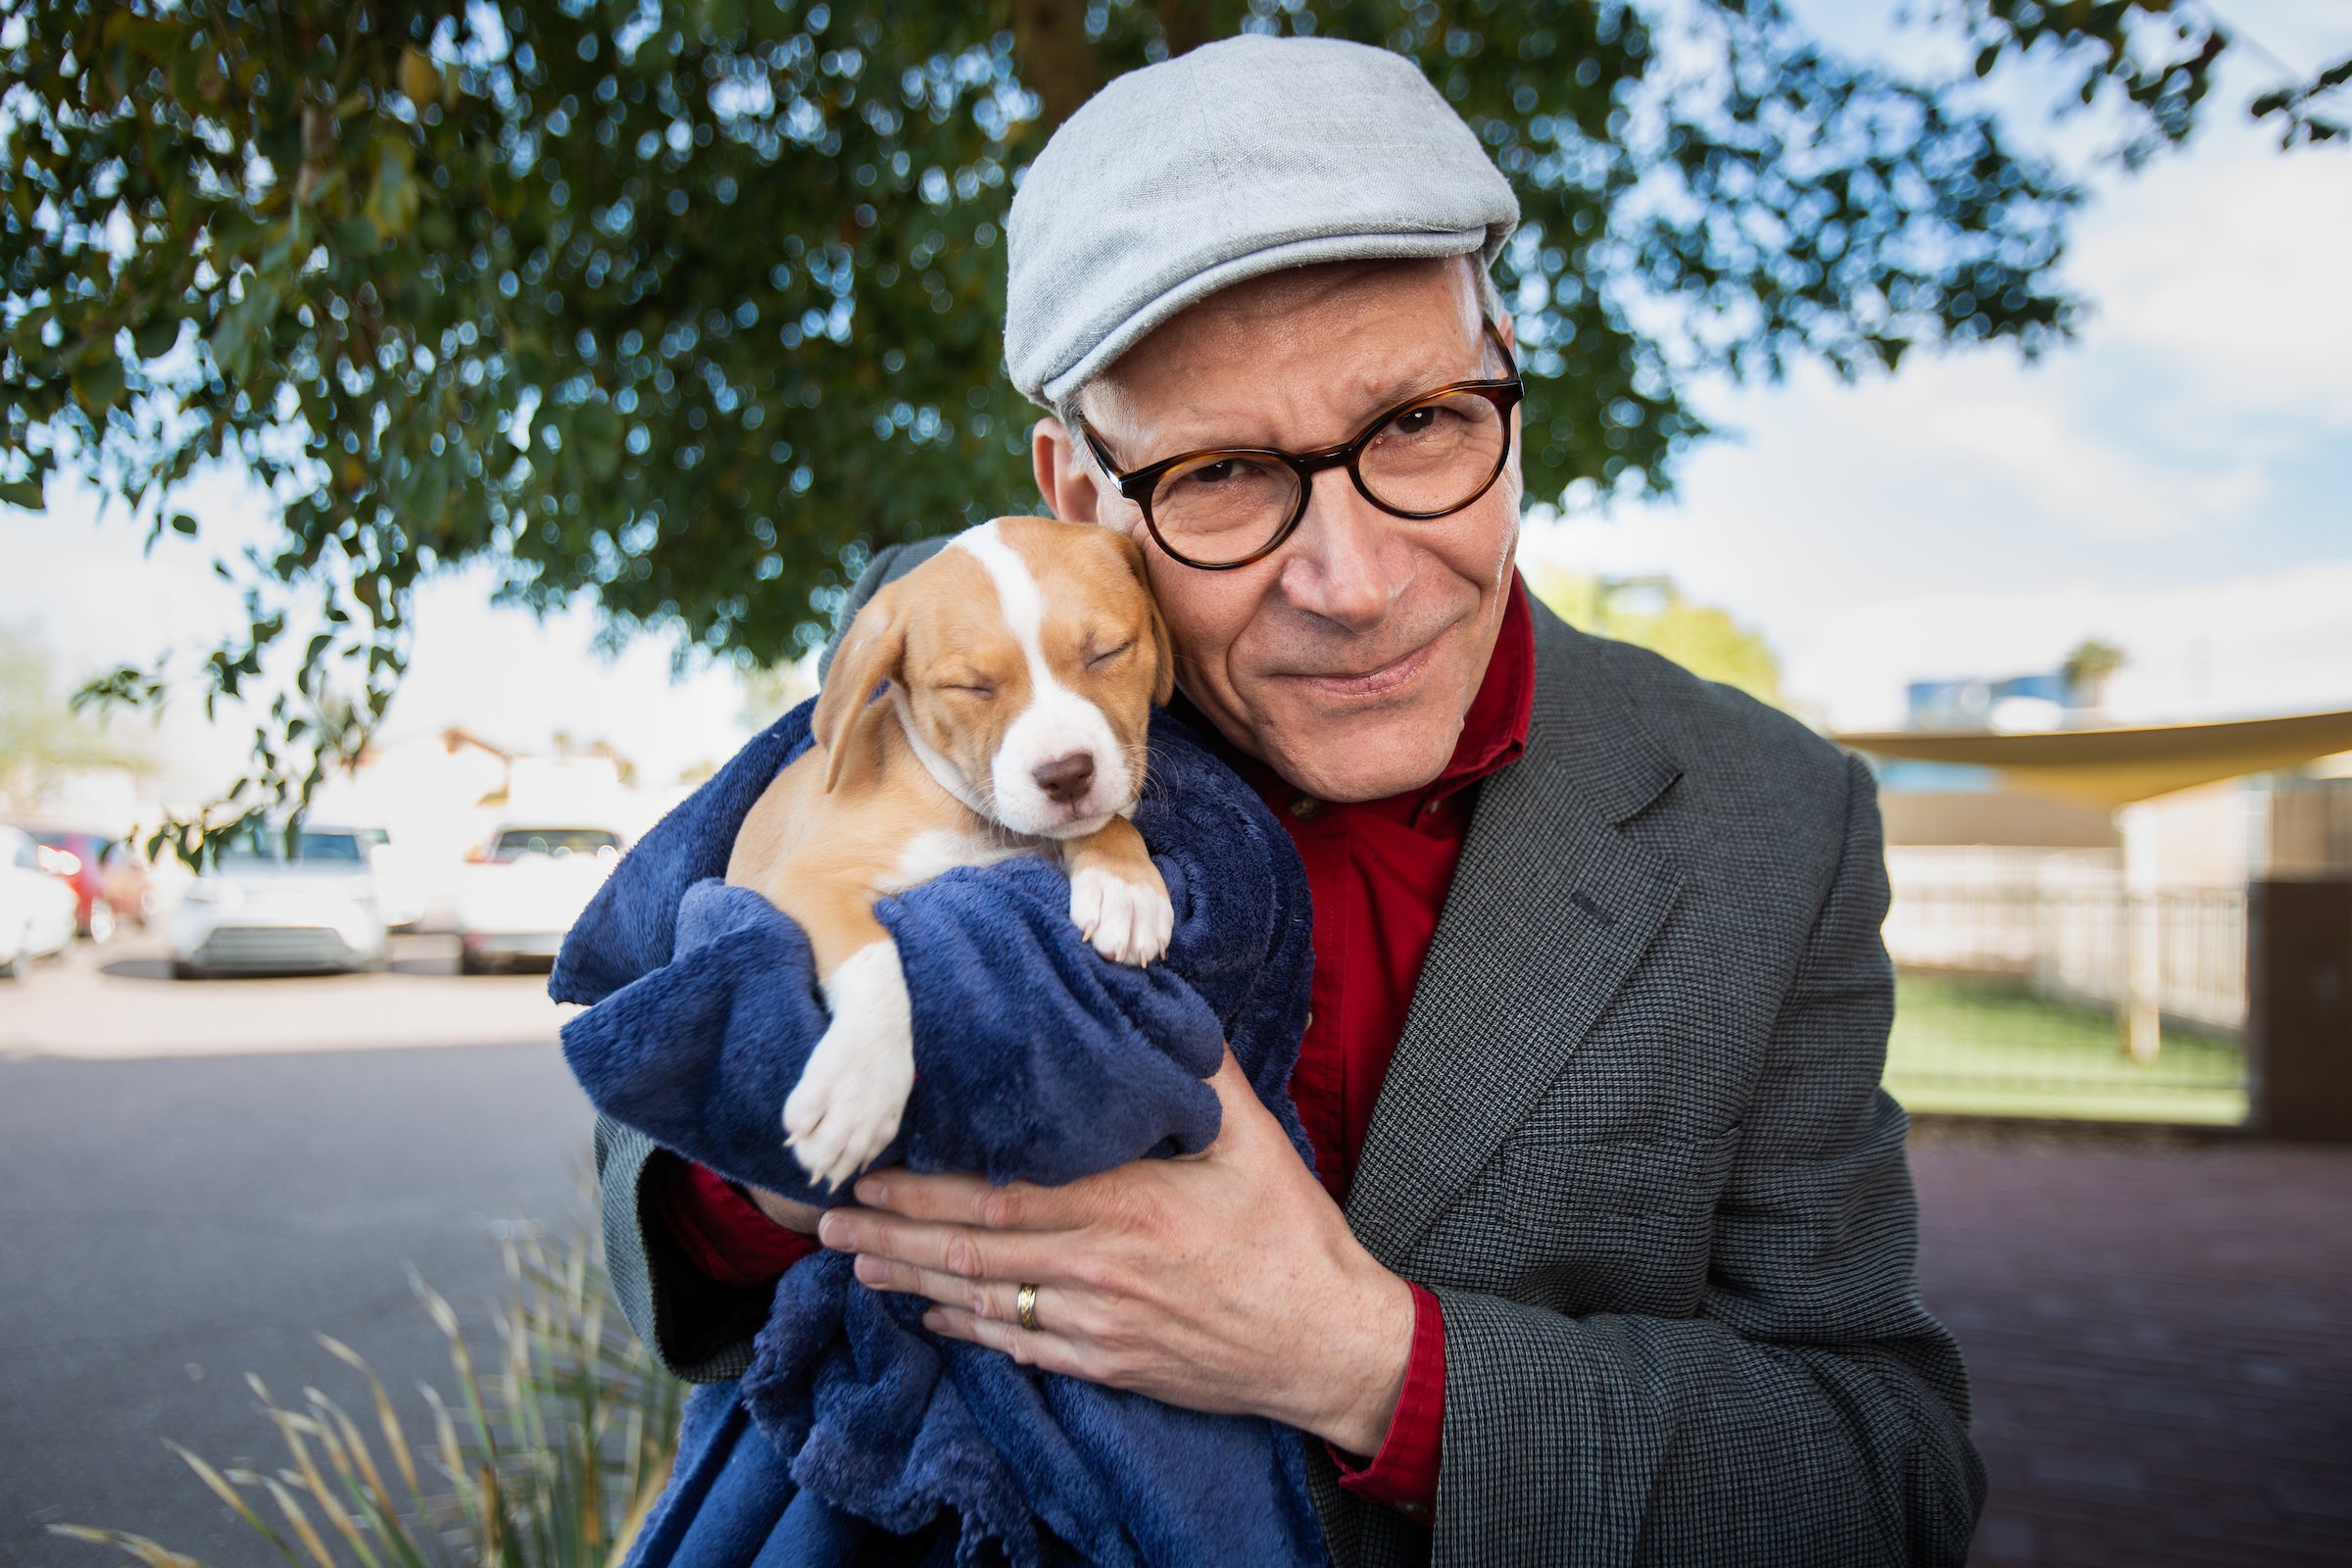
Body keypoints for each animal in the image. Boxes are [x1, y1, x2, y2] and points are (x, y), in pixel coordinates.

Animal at [729, 514, 1185, 1189]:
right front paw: (859, 1085)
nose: (1066, 776)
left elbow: (1104, 822)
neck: (974, 821)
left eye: (1107, 652)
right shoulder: (807, 879)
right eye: (969, 686)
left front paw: (1124, 888)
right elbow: (872, 953)